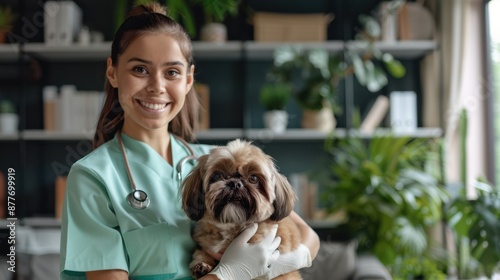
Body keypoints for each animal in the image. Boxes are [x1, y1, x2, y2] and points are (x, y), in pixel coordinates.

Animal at [182, 139, 302, 278]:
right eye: (217, 176)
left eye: (253, 178)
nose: (235, 183)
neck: (233, 227)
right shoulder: (204, 246)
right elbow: (200, 254)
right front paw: (203, 266)